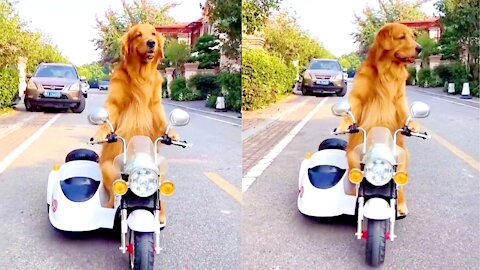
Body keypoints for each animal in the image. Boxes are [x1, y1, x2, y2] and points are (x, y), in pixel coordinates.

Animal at [95, 22, 178, 224]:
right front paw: (101, 132)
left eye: (154, 33)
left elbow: (162, 120)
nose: (151, 43)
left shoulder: (155, 104)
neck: (141, 75)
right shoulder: (114, 103)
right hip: (109, 170)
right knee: (113, 194)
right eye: (138, 35)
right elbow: (109, 114)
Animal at [336, 22, 422, 217]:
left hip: (403, 157)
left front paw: (413, 124)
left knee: (400, 185)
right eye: (401, 37)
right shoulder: (358, 97)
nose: (420, 48)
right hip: (353, 155)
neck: (387, 71)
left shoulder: (399, 99)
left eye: (413, 36)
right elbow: (351, 108)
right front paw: (343, 124)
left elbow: (405, 112)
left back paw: (401, 205)